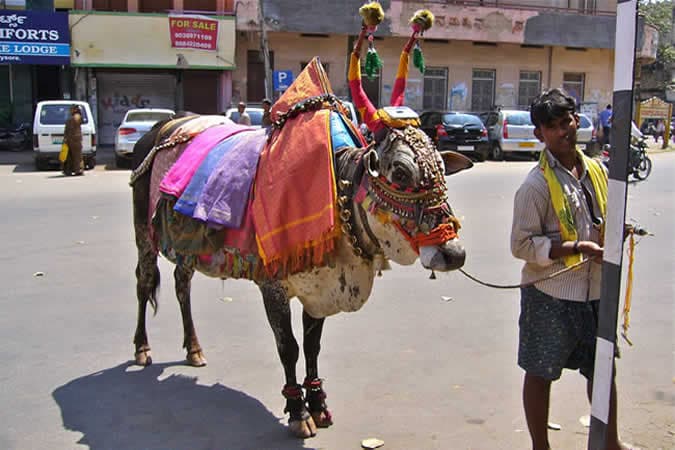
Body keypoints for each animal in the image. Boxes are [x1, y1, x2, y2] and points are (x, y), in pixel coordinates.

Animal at [129, 5, 472, 438]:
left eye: (442, 169)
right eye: (399, 171)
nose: (454, 253)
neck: (339, 193)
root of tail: (164, 126)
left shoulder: (319, 286)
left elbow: (312, 345)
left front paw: (319, 403)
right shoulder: (273, 285)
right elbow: (288, 346)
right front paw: (297, 412)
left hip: (186, 245)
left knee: (180, 283)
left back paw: (193, 347)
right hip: (144, 234)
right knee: (144, 282)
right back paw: (142, 348)